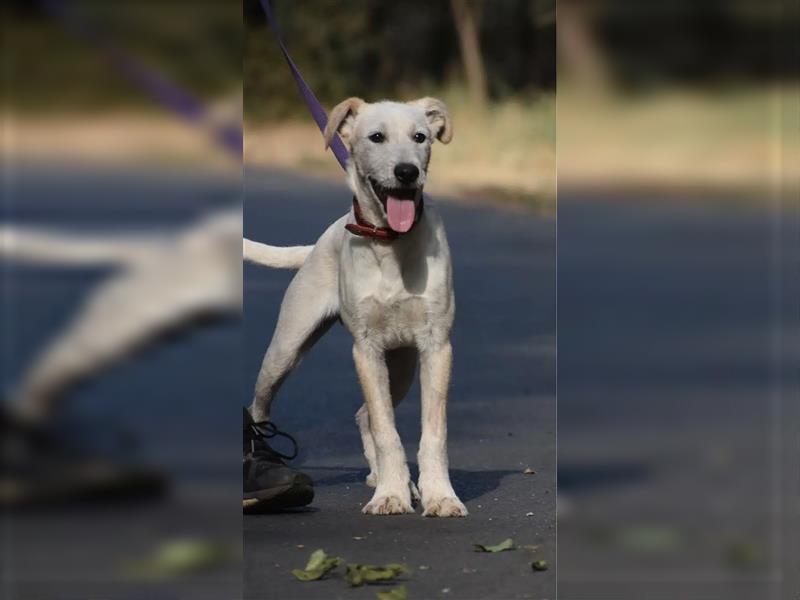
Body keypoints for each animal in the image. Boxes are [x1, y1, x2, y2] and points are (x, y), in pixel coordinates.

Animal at [247, 97, 466, 516]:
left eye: (420, 137)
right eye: (376, 137)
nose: (407, 172)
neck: (390, 242)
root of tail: (316, 245)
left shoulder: (437, 346)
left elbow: (434, 432)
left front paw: (439, 495)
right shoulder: (365, 349)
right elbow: (385, 430)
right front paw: (391, 495)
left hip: (401, 365)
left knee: (363, 414)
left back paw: (391, 478)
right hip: (285, 349)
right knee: (260, 406)